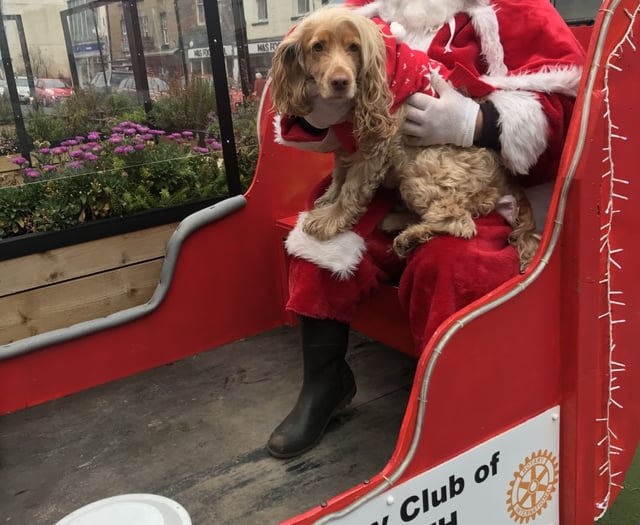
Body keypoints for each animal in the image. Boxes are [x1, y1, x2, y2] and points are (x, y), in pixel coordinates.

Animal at [270, 5, 540, 270]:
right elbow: (339, 174)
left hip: (420, 168)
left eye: (354, 47)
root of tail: (506, 179)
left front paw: (330, 219)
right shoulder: (346, 142)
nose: (340, 82)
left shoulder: (376, 146)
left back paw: (410, 237)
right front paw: (328, 198)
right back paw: (397, 223)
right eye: (317, 47)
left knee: (460, 222)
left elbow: (352, 188)